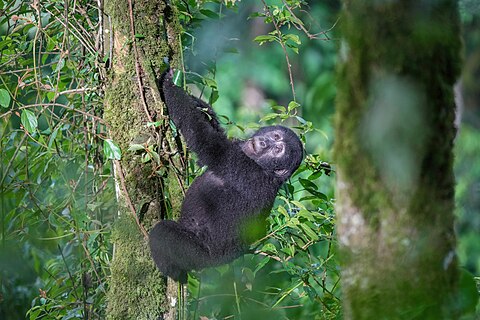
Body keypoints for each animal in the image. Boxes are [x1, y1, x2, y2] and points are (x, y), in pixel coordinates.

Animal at [148, 70, 302, 282]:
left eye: (278, 150)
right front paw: (196, 100)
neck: (263, 167)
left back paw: (172, 272)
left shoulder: (241, 167)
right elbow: (213, 125)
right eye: (276, 136)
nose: (264, 143)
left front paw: (169, 84)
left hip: (201, 255)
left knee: (162, 233)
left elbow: (204, 138)